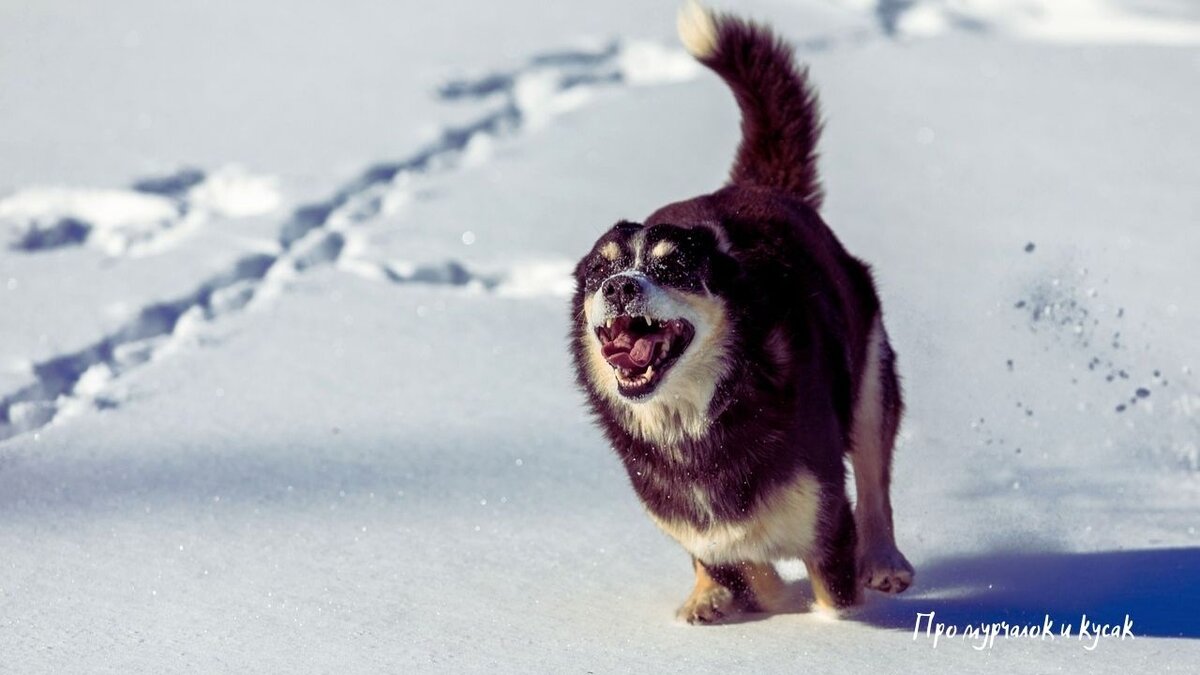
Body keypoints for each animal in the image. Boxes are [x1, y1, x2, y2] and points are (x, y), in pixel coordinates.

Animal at [566, 0, 912, 624]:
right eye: (600, 273)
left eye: (673, 268)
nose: (621, 288)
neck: (694, 419)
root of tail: (758, 189)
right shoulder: (691, 518)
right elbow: (739, 563)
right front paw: (732, 594)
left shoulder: (825, 518)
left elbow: (831, 594)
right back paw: (707, 596)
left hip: (870, 377)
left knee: (876, 482)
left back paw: (885, 560)